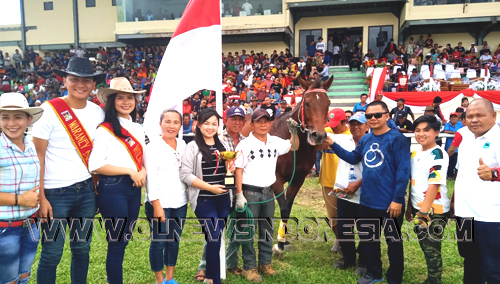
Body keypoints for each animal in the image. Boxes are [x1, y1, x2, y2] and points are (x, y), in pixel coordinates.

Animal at [270, 75, 332, 255]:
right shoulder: (276, 178)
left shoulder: (298, 179)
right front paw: (279, 245)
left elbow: (288, 207)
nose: (319, 135)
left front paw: (283, 240)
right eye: (307, 103)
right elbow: (284, 207)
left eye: (328, 103)